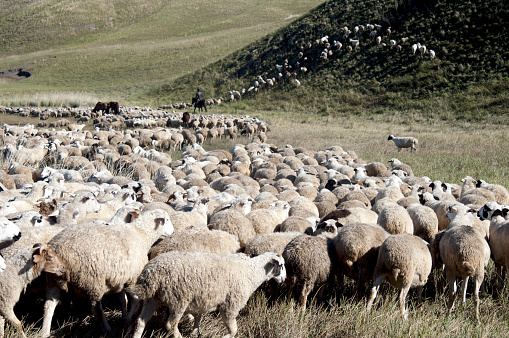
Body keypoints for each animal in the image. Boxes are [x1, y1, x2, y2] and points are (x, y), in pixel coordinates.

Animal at [40, 209, 175, 336]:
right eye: (167, 220)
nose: (173, 232)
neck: (140, 234)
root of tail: (60, 250)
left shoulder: (119, 278)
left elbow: (123, 299)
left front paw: (125, 316)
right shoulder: (133, 276)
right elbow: (135, 300)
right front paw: (130, 317)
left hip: (53, 279)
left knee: (49, 305)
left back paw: (45, 332)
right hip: (93, 280)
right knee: (96, 309)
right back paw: (107, 328)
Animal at [127, 251, 286, 338]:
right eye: (281, 265)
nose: (284, 279)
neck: (250, 273)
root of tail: (151, 272)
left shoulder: (204, 300)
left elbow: (198, 318)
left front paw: (195, 332)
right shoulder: (230, 306)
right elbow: (234, 330)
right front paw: (224, 336)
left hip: (153, 298)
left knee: (141, 321)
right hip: (179, 299)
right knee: (170, 324)